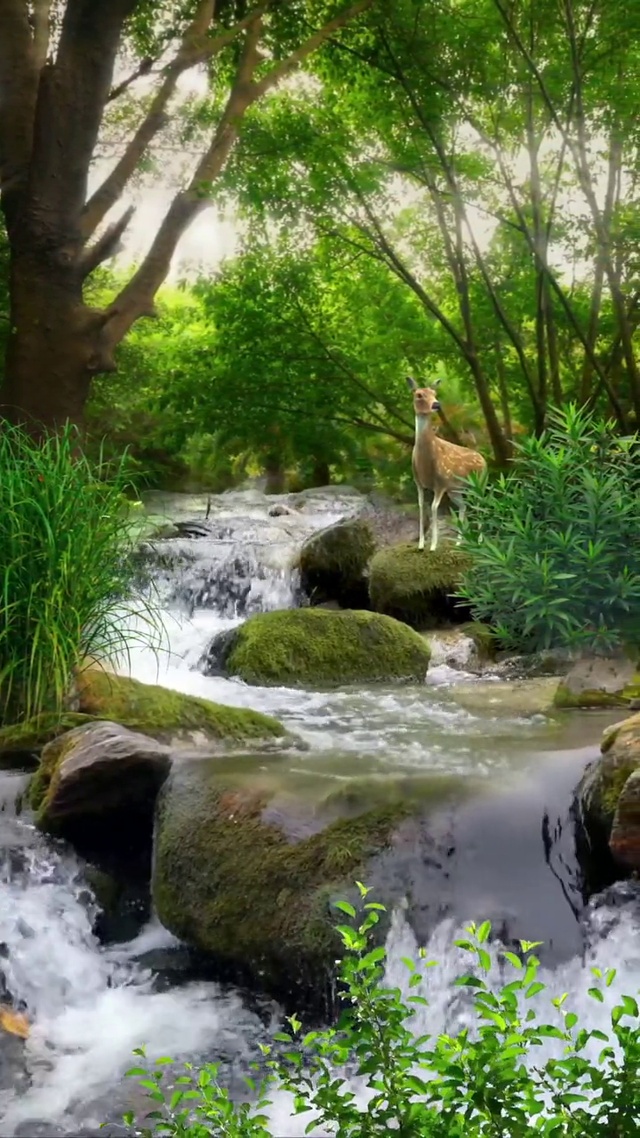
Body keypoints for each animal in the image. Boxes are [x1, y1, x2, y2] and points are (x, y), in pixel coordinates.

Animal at [406, 376, 487, 552]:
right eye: (419, 394)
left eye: (435, 393)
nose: (436, 404)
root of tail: (483, 459)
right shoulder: (418, 482)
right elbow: (421, 506)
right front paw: (421, 545)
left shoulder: (441, 482)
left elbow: (434, 507)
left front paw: (433, 546)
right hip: (456, 489)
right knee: (463, 506)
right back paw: (460, 542)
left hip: (479, 483)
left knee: (480, 504)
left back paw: (479, 541)